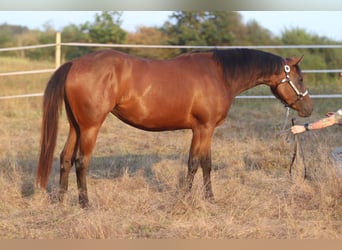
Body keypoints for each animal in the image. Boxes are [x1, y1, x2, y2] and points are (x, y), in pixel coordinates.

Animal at [36, 48, 312, 207]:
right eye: (299, 78)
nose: (308, 109)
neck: (219, 74)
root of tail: (74, 64)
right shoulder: (203, 128)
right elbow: (194, 163)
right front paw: (186, 198)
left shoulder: (205, 130)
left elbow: (206, 163)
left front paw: (210, 198)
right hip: (91, 127)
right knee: (81, 161)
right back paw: (85, 203)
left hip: (76, 126)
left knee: (65, 158)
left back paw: (60, 200)